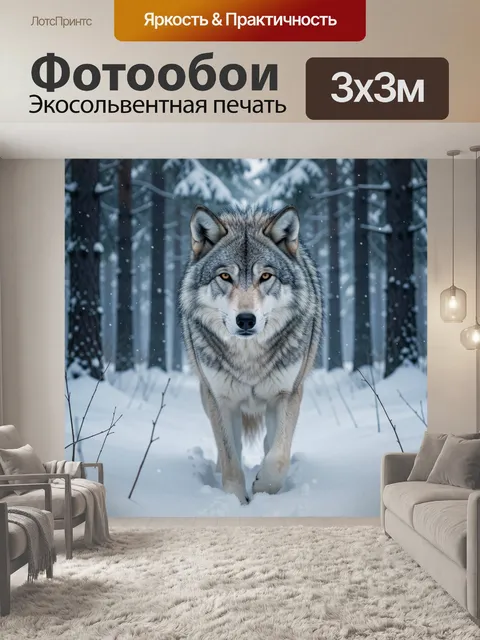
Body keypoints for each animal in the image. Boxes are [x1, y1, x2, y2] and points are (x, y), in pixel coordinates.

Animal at [179, 205, 323, 504]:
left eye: (265, 276)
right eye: (225, 276)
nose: (246, 320)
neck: (249, 358)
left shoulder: (287, 394)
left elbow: (279, 456)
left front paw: (263, 489)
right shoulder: (220, 400)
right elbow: (231, 458)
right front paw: (235, 500)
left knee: (271, 442)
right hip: (206, 394)